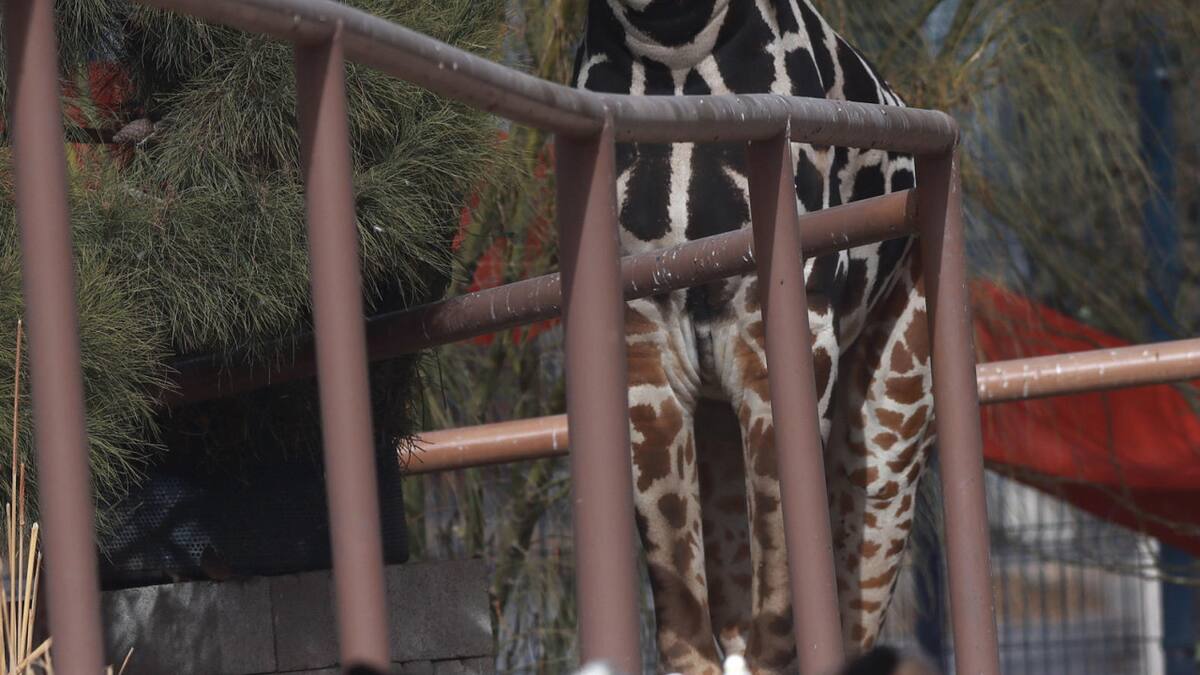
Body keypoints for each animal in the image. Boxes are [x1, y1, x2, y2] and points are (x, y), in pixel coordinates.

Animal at [570, 2, 935, 673]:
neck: (673, 49)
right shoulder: (646, 343)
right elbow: (683, 622)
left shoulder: (784, 327)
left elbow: (788, 585)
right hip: (718, 421)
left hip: (889, 430)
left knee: (856, 607)